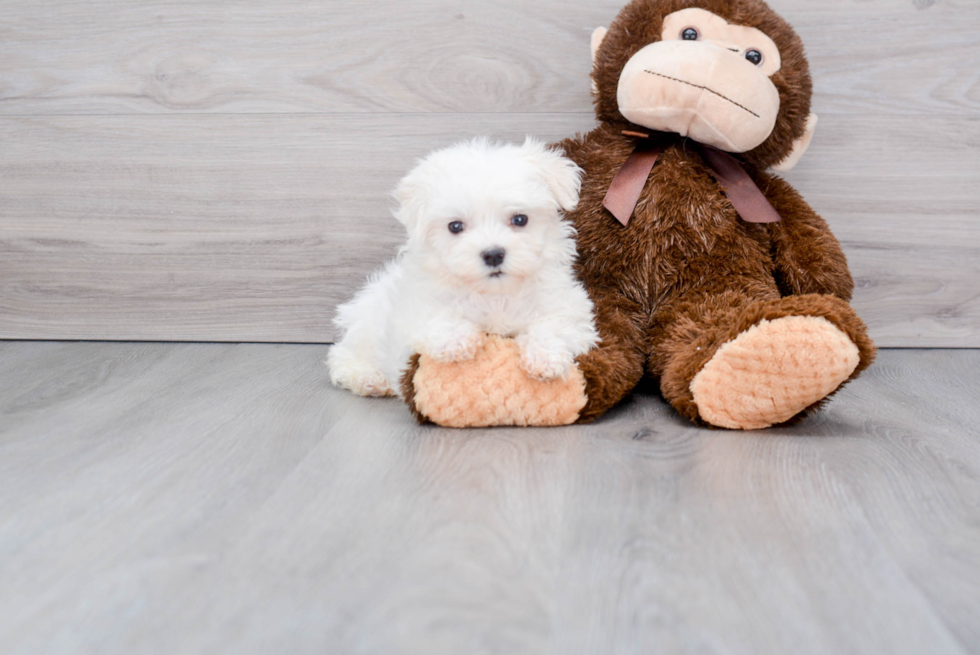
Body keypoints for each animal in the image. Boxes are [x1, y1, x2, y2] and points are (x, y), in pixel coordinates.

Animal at [330, 136, 596, 398]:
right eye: (455, 226)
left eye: (520, 219)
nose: (493, 254)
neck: (495, 295)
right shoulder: (412, 308)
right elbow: (432, 315)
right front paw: (456, 339)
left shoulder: (569, 306)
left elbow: (554, 324)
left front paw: (545, 358)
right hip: (366, 323)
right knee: (343, 353)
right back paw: (369, 378)